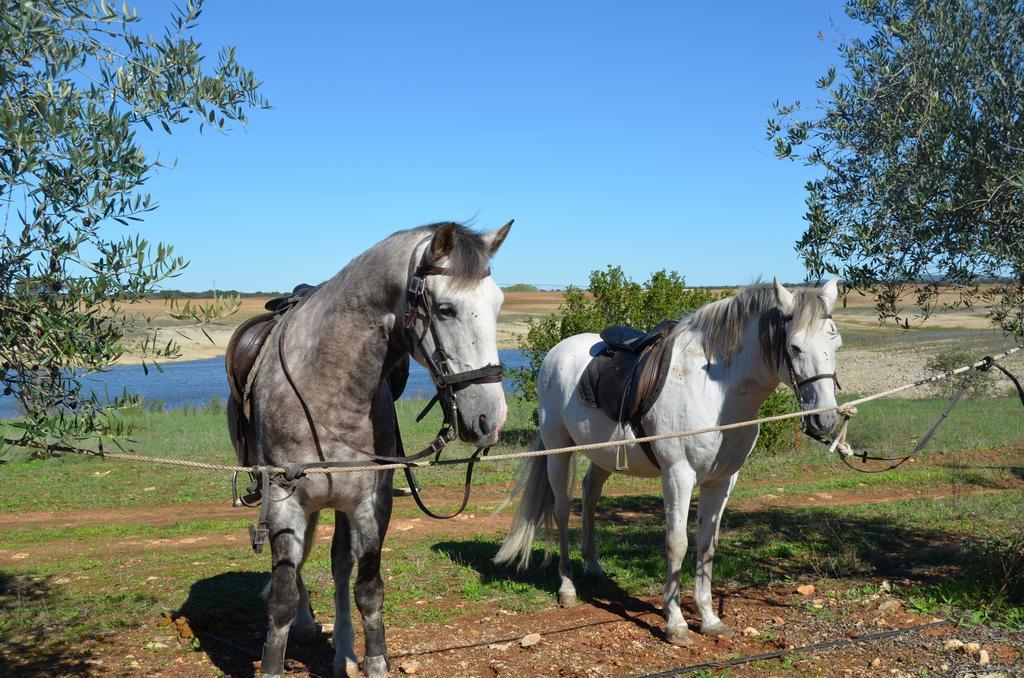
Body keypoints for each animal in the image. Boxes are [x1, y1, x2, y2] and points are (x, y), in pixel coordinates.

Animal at [227, 222, 507, 675]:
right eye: (445, 309)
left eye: (498, 305)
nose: (490, 419)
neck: (329, 387)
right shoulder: (285, 499)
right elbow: (282, 595)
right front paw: (273, 661)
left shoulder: (371, 504)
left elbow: (368, 590)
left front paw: (374, 660)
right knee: (300, 565)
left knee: (340, 565)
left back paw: (343, 651)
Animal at [493, 278, 839, 647]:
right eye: (795, 346)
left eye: (837, 343)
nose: (826, 420)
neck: (715, 390)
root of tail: (557, 352)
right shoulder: (678, 475)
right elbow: (677, 543)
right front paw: (676, 623)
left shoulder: (723, 480)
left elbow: (707, 544)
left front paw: (709, 618)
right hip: (559, 450)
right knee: (561, 511)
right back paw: (568, 587)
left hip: (602, 454)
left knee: (589, 495)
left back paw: (594, 567)